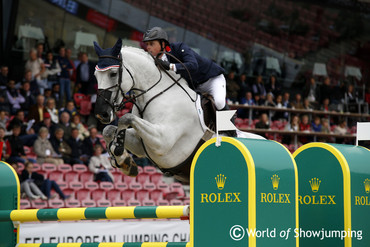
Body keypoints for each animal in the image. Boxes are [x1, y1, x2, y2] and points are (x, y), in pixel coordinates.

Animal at [94, 38, 264, 181]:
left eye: (113, 73)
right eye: (95, 75)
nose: (101, 113)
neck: (158, 94)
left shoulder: (163, 141)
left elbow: (126, 118)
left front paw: (120, 155)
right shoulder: (142, 144)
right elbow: (108, 130)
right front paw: (126, 163)